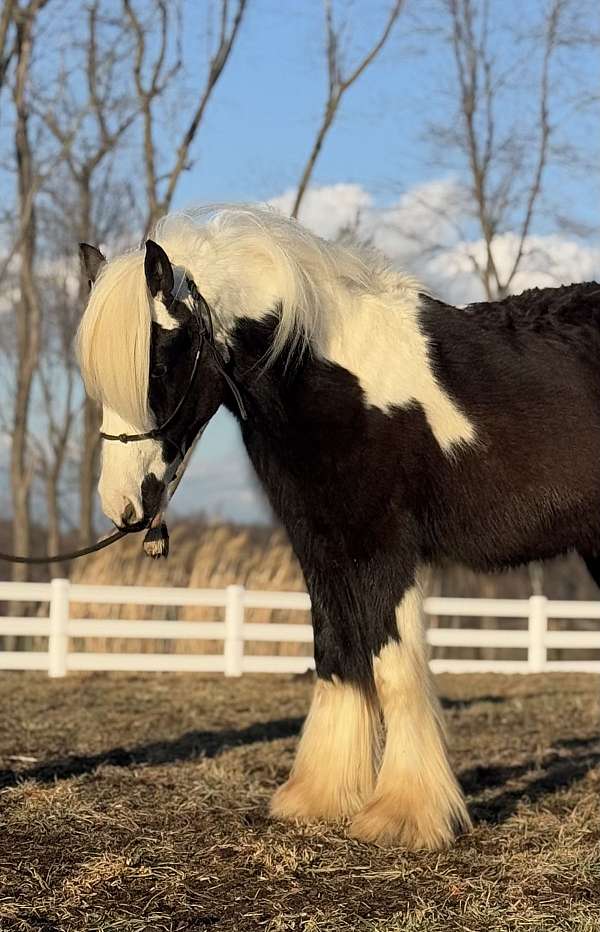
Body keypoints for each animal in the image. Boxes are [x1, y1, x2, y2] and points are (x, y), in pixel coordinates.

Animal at [77, 206, 600, 852]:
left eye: (158, 363)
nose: (122, 505)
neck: (333, 377)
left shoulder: (381, 546)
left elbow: (392, 666)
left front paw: (405, 815)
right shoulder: (321, 544)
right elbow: (337, 656)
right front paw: (319, 798)